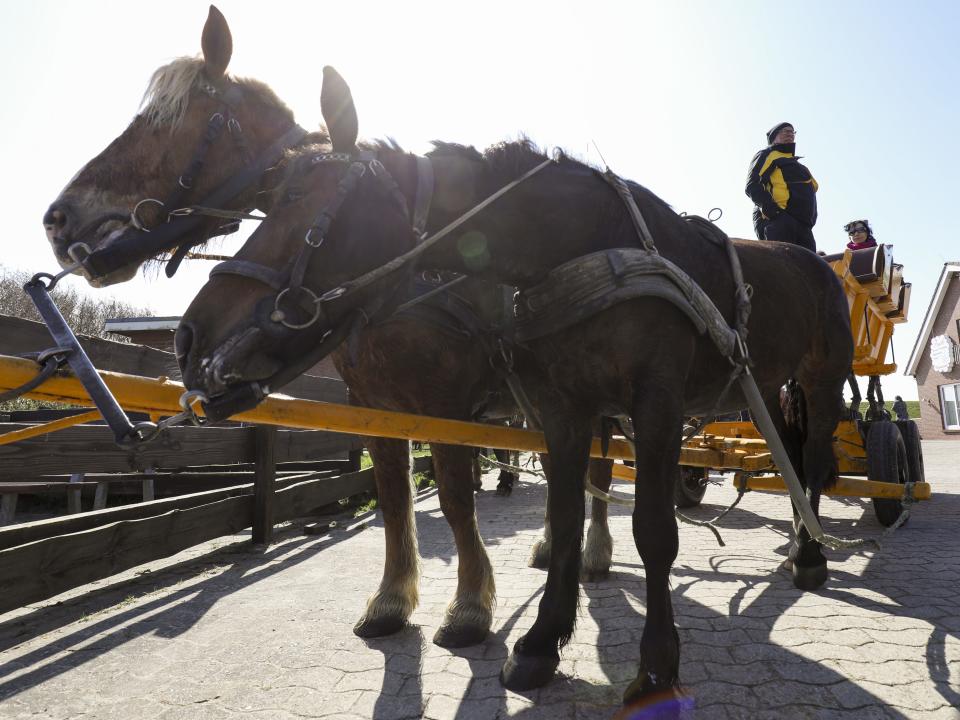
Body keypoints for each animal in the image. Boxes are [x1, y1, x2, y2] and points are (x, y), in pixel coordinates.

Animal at [41, 5, 616, 648]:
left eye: (170, 122)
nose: (58, 220)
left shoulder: (444, 406)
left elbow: (454, 497)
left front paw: (469, 606)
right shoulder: (373, 405)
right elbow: (392, 496)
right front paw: (392, 599)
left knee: (598, 464)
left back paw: (594, 550)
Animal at [176, 67, 852, 704]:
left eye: (295, 200)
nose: (188, 336)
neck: (588, 240)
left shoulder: (652, 400)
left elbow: (654, 531)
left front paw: (657, 664)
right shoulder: (559, 405)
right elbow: (561, 509)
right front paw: (540, 641)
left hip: (820, 382)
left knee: (815, 460)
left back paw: (810, 555)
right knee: (786, 459)